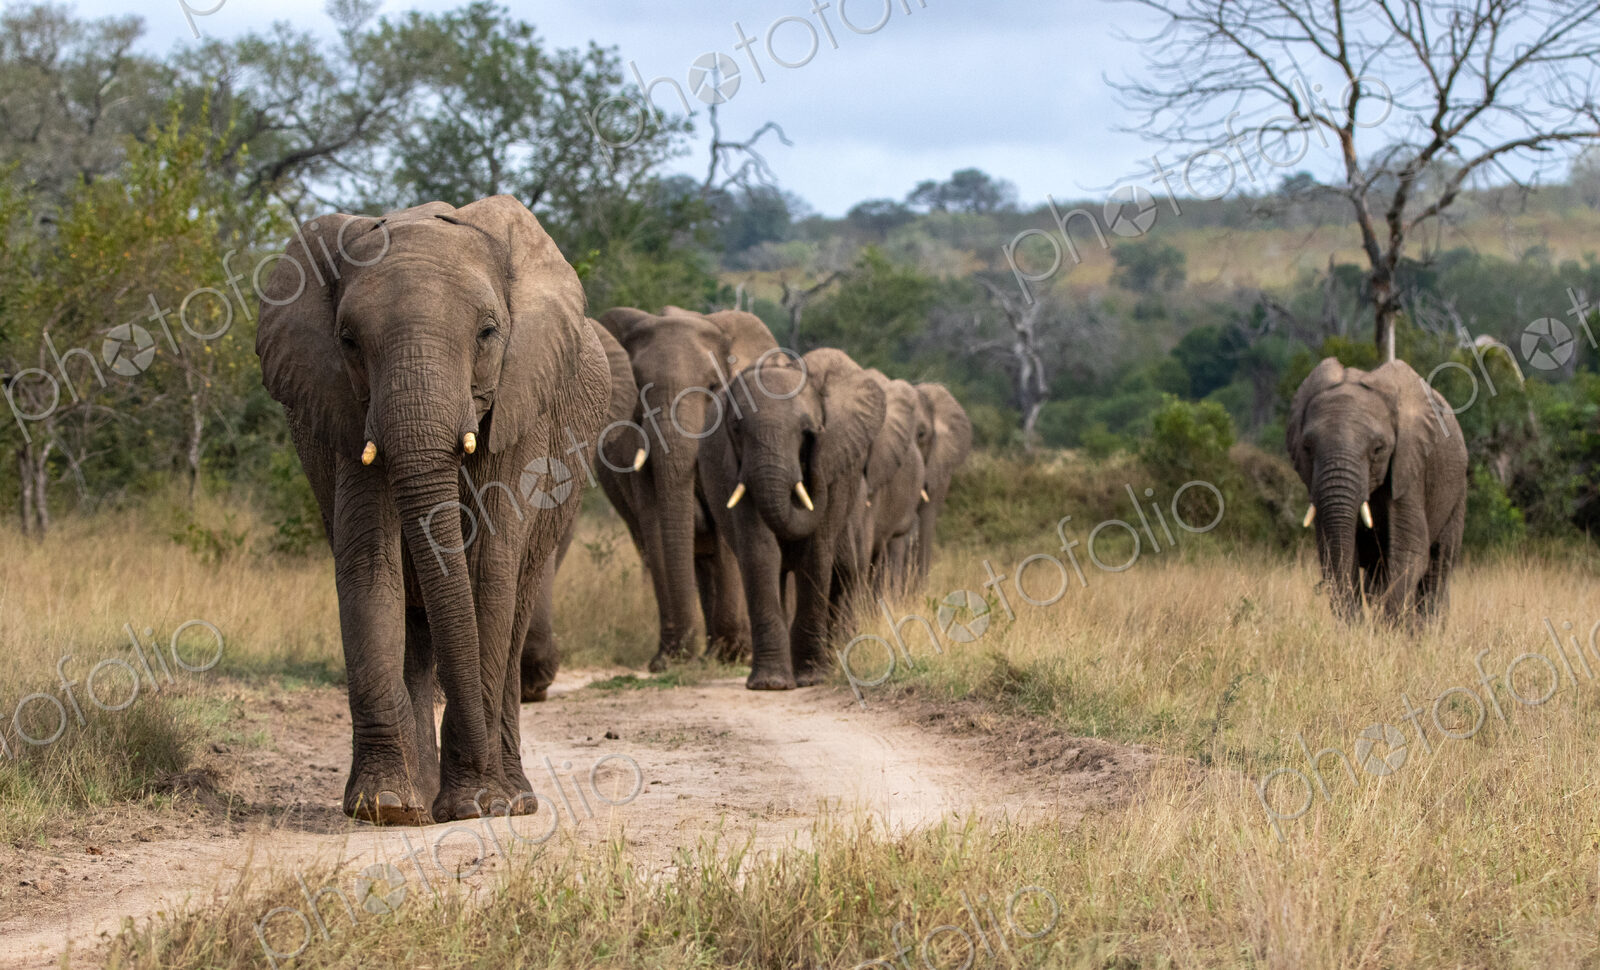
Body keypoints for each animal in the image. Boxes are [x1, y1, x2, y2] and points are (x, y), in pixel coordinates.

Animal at [256, 195, 609, 824]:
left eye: (489, 332)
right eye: (348, 340)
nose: (466, 799)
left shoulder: (520, 405)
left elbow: (487, 567)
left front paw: (476, 804)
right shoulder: (348, 412)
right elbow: (369, 563)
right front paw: (385, 807)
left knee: (513, 603)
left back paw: (513, 800)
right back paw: (421, 797)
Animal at [598, 306, 778, 670]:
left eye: (713, 387)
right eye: (640, 390)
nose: (677, 657)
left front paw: (732, 654)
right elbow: (655, 526)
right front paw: (668, 658)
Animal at [700, 348, 886, 690]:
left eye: (806, 432)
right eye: (736, 430)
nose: (818, 439)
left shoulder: (836, 472)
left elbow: (816, 554)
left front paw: (812, 678)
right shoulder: (735, 469)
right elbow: (760, 552)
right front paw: (770, 684)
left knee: (843, 573)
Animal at [1287, 357, 1468, 621]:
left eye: (1378, 449)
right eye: (1308, 447)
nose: (1359, 623)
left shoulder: (1409, 468)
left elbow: (1408, 549)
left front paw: (1387, 628)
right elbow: (1332, 551)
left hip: (1458, 490)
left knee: (1438, 565)